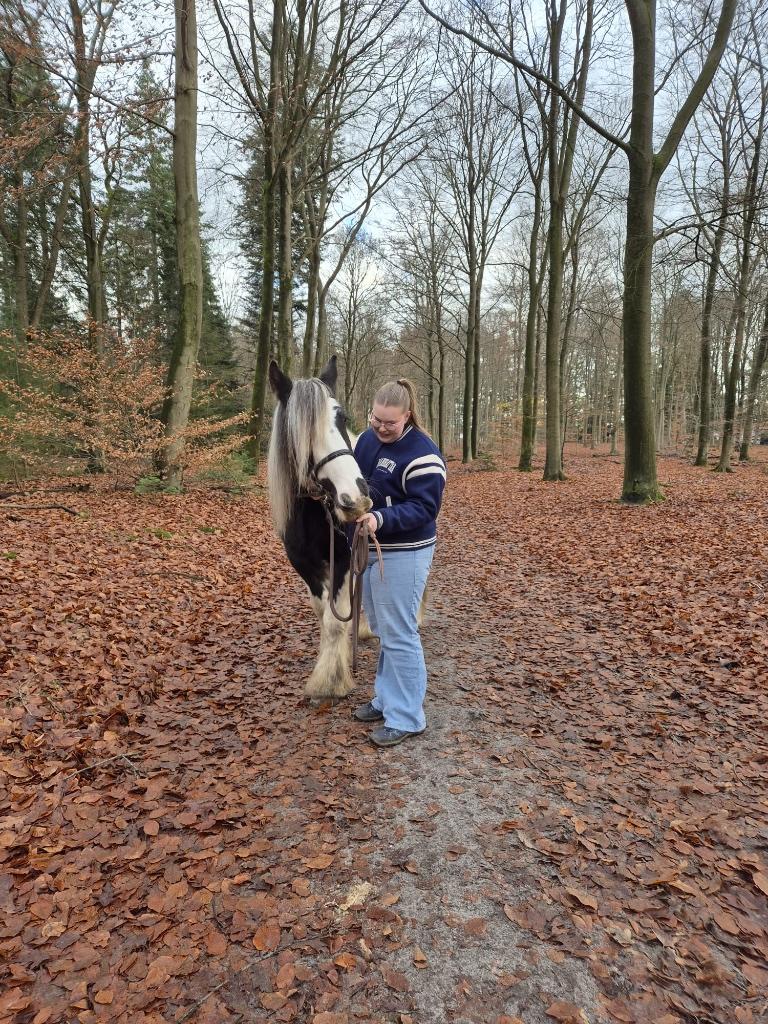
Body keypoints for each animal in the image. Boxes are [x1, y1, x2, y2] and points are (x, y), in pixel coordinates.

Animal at [267, 355, 372, 701]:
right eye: (298, 432)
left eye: (341, 417)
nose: (354, 497)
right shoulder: (305, 565)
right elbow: (322, 611)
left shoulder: (342, 560)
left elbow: (335, 619)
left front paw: (331, 679)